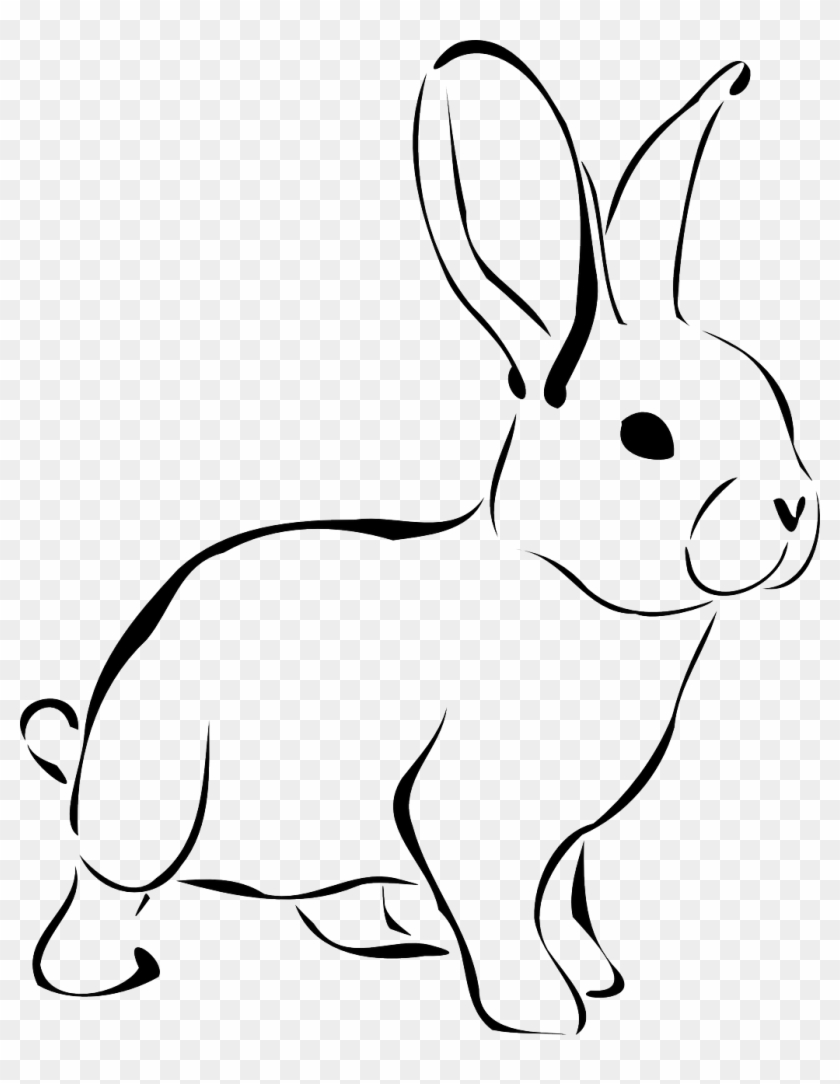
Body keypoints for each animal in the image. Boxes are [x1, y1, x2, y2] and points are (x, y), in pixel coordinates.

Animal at [21, 41, 819, 1034]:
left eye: (775, 403)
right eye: (646, 435)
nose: (794, 505)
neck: (565, 582)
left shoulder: (568, 840)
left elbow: (563, 902)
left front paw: (594, 977)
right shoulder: (469, 816)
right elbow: (506, 912)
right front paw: (546, 1011)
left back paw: (389, 940)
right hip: (151, 795)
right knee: (105, 887)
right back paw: (95, 976)